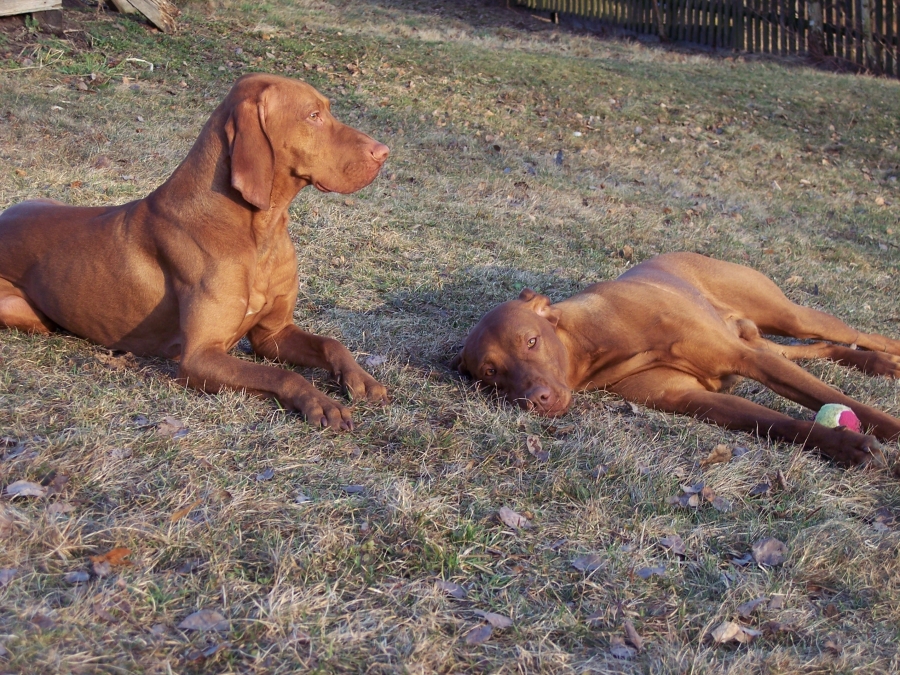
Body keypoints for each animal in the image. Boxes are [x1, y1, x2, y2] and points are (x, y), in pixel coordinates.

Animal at [0, 74, 390, 431]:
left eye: (326, 110)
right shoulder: (199, 357)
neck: (258, 232)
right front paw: (322, 402)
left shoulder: (273, 335)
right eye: (313, 116)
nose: (384, 152)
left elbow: (331, 343)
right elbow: (281, 376)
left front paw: (361, 379)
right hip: (20, 311)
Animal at [452, 253, 900, 466]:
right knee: (820, 349)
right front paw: (846, 446)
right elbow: (781, 423)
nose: (536, 400)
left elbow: (847, 403)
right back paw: (877, 365)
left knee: (854, 335)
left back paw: (889, 355)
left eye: (531, 341)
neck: (596, 343)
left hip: (788, 316)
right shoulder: (692, 399)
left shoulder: (746, 358)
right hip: (760, 337)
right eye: (491, 372)